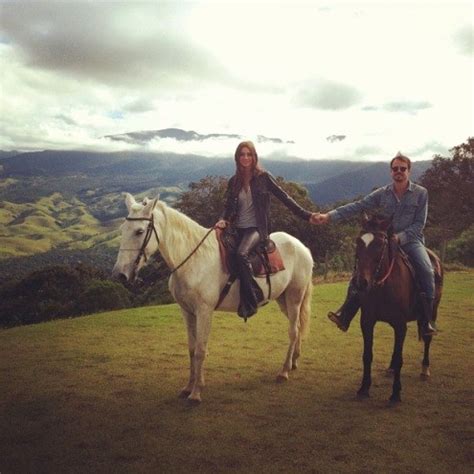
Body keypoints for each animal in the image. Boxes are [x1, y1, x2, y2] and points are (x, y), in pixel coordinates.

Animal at [112, 193, 314, 404]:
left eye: (139, 231)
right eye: (123, 230)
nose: (119, 274)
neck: (193, 259)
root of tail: (302, 246)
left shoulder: (204, 311)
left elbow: (201, 350)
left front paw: (196, 393)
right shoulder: (187, 312)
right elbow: (192, 349)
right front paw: (188, 387)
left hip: (294, 297)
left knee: (293, 331)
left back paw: (284, 371)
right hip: (283, 300)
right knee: (298, 327)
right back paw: (294, 361)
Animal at [354, 215, 442, 404]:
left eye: (379, 244)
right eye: (358, 242)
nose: (361, 283)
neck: (383, 285)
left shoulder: (401, 325)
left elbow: (401, 358)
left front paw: (395, 393)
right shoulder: (367, 322)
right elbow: (367, 355)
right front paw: (364, 388)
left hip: (431, 312)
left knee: (427, 337)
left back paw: (425, 369)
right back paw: (391, 368)